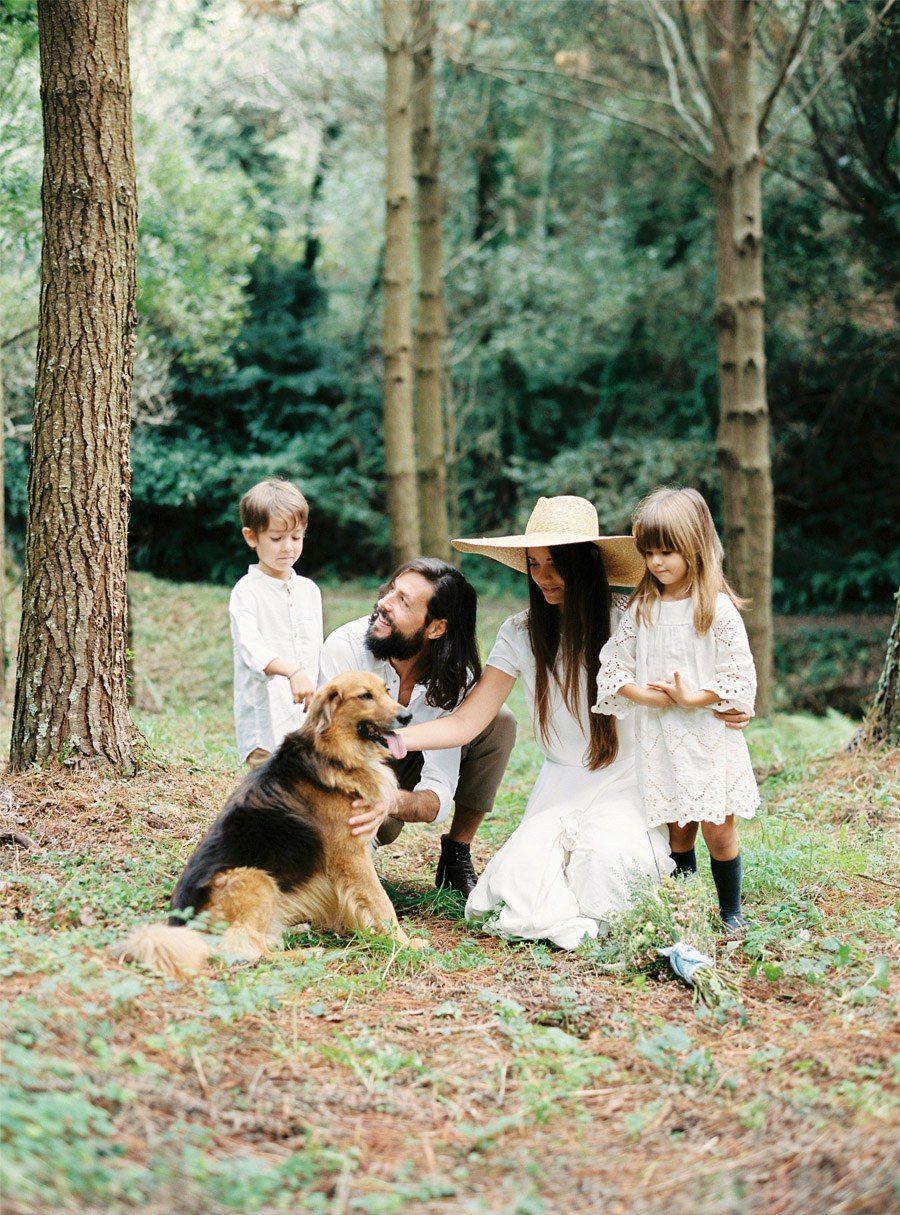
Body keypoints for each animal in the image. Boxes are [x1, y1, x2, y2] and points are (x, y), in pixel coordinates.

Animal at [119, 675, 427, 976]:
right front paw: (405, 943)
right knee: (247, 949)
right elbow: (381, 903)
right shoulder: (351, 856)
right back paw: (308, 953)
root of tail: (182, 925)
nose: (407, 716)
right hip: (257, 879)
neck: (332, 752)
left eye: (386, 691)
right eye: (365, 696)